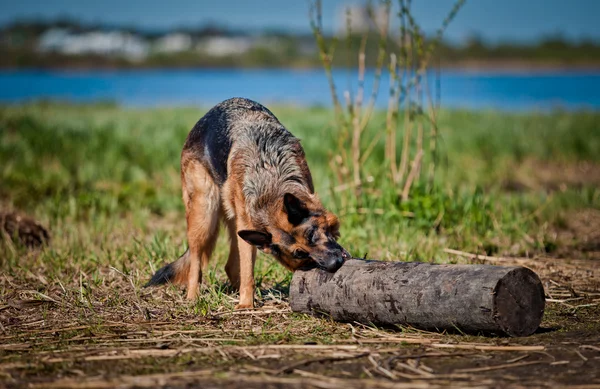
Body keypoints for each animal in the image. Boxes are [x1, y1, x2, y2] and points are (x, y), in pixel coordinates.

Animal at [146, 98, 352, 310]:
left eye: (311, 234)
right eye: (300, 254)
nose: (335, 263)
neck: (269, 180)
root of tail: (200, 122)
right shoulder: (247, 224)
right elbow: (247, 272)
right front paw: (245, 305)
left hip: (236, 225)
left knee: (230, 266)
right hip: (205, 215)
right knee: (197, 261)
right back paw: (193, 297)